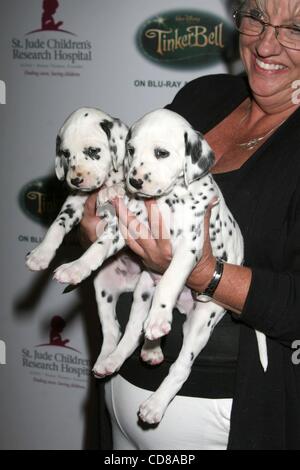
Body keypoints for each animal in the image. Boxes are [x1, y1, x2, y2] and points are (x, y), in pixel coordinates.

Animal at [51, 108, 268, 424]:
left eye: (161, 153)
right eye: (130, 150)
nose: (134, 181)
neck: (169, 199)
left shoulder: (189, 249)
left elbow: (170, 280)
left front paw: (158, 319)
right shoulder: (126, 228)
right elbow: (98, 247)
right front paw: (76, 267)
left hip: (202, 321)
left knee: (181, 366)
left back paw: (155, 403)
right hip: (143, 290)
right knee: (131, 333)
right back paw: (117, 358)